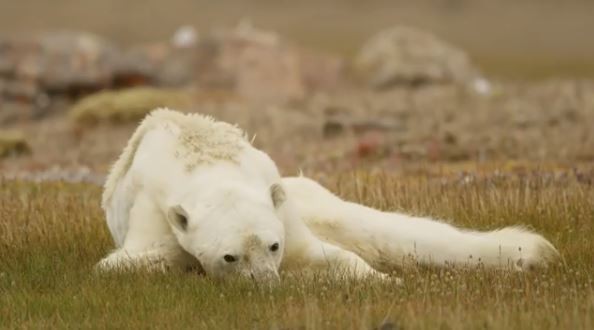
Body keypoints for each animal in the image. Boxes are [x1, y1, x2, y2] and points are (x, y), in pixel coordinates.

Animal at [96, 109, 556, 280]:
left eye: (273, 245)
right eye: (231, 256)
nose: (269, 282)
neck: (207, 163)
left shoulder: (281, 209)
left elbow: (327, 254)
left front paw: (384, 280)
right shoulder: (154, 214)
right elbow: (127, 263)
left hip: (310, 195)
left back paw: (529, 251)